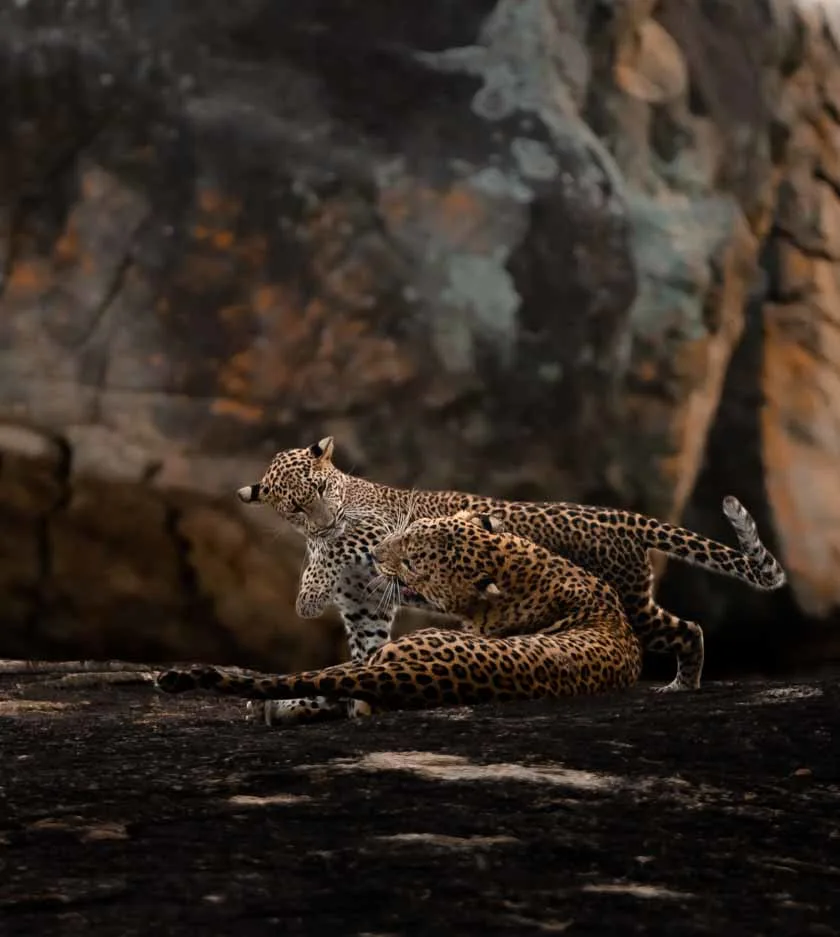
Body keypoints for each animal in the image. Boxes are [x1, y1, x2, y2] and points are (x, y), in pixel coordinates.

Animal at [229, 436, 786, 726]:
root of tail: (616, 516)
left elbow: (344, 544)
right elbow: (361, 657)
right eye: (295, 506)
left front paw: (309, 594)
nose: (324, 520)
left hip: (629, 601)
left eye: (321, 488)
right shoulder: (366, 610)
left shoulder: (378, 528)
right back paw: (683, 683)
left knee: (684, 629)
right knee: (685, 628)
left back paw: (681, 683)